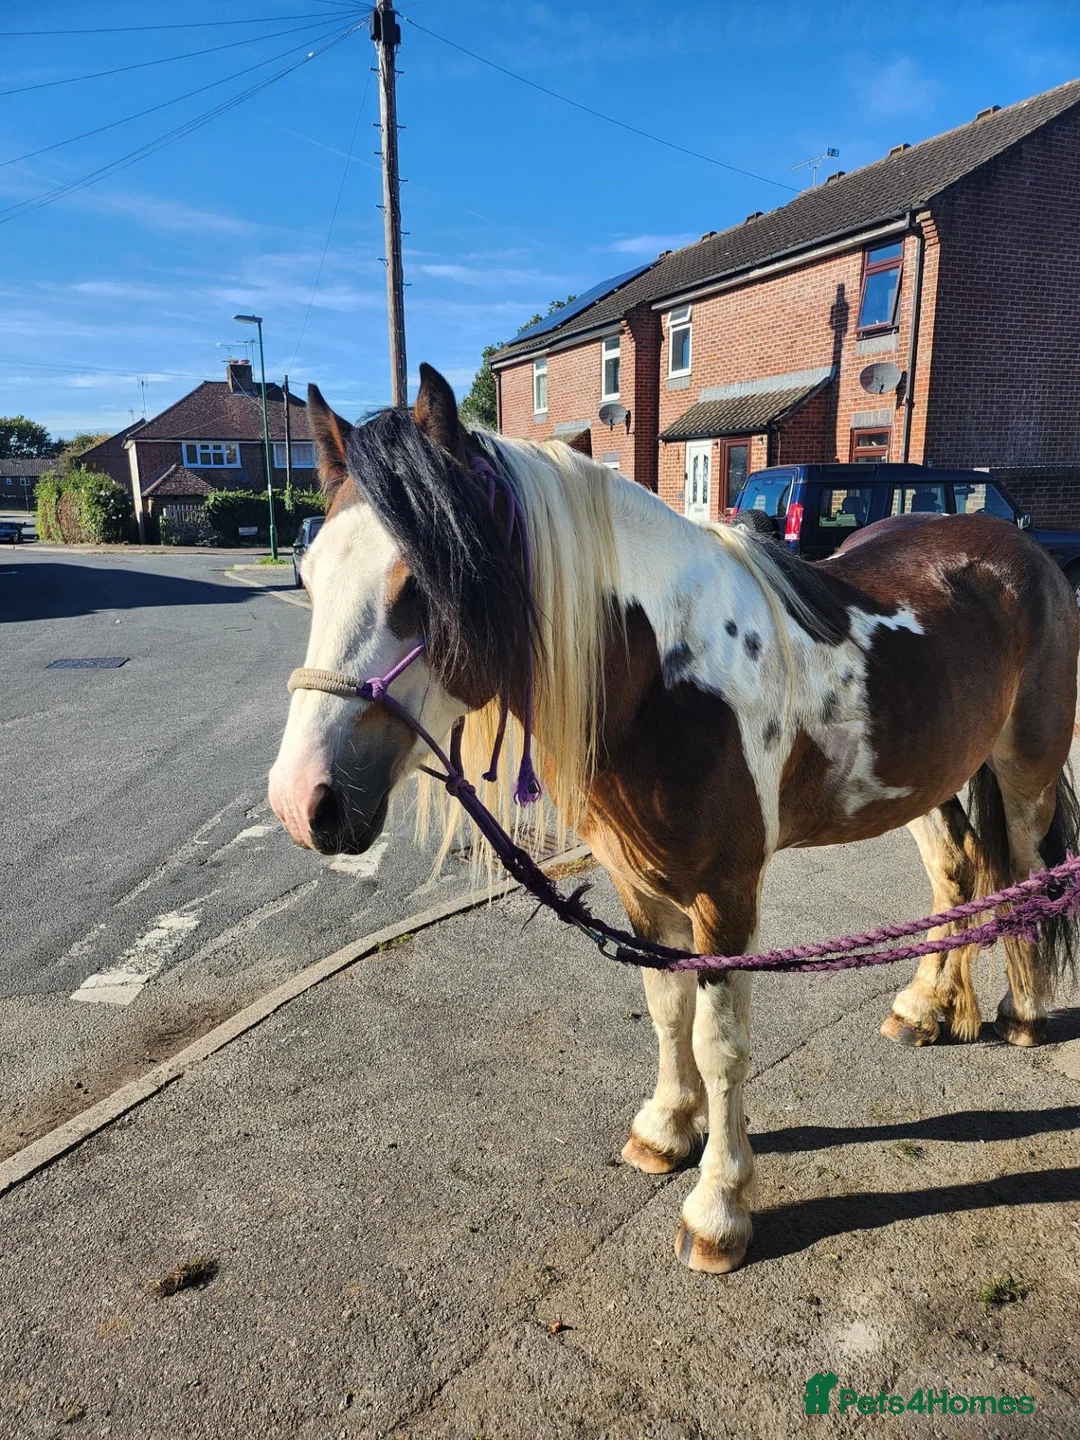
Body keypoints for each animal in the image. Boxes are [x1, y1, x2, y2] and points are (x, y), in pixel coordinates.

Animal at [269, 363, 1079, 1273]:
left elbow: (719, 1042)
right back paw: (926, 1008)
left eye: (423, 583)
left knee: (1023, 874)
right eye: (309, 577)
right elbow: (667, 1008)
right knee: (959, 874)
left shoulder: (727, 891)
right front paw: (665, 1129)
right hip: (931, 776)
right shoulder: (641, 884)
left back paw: (1023, 1013)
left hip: (1023, 773)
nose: (304, 801)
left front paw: (719, 1206)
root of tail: (1021, 550)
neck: (663, 680)